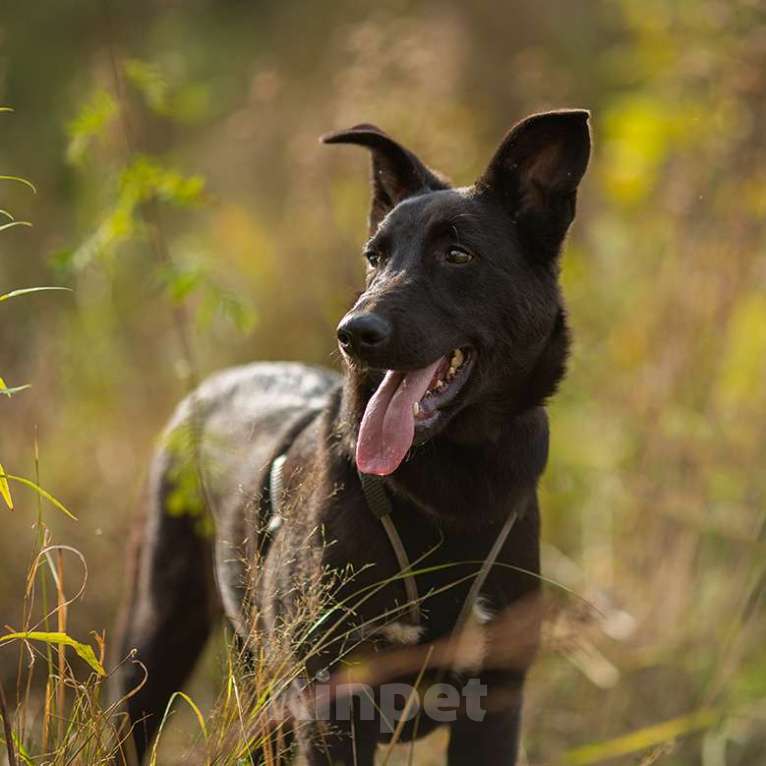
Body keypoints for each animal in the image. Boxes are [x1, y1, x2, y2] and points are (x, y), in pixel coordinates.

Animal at [115, 111, 592, 764]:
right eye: (374, 256)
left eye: (458, 253)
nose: (353, 332)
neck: (451, 490)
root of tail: (210, 384)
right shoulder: (333, 708)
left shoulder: (496, 697)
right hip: (155, 638)